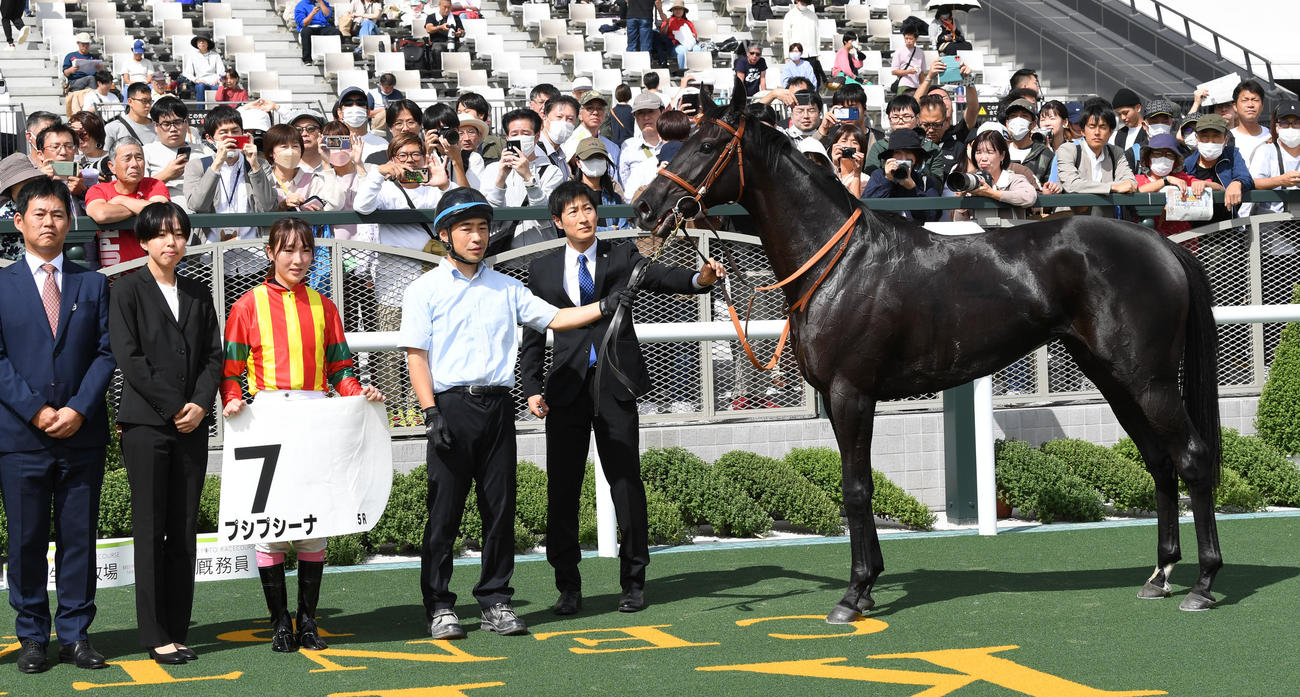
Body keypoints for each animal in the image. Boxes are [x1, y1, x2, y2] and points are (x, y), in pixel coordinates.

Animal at [632, 89, 1223, 621]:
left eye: (708, 144)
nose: (644, 205)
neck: (839, 263)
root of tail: (1160, 244)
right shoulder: (842, 399)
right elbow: (859, 484)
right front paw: (868, 585)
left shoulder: (851, 394)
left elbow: (856, 488)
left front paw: (854, 593)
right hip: (1114, 378)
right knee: (1161, 461)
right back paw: (1160, 575)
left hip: (1149, 381)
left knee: (1192, 458)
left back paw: (1203, 583)